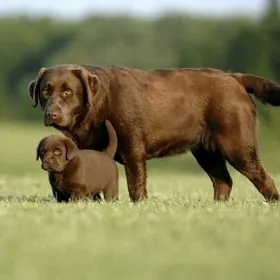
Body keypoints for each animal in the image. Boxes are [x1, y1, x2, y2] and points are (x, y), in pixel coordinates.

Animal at [28, 64, 280, 202]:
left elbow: (135, 187)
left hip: (238, 147)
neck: (99, 105)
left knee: (263, 178)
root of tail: (234, 78)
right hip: (206, 152)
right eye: (45, 91)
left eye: (68, 92)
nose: (52, 114)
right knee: (223, 181)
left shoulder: (133, 150)